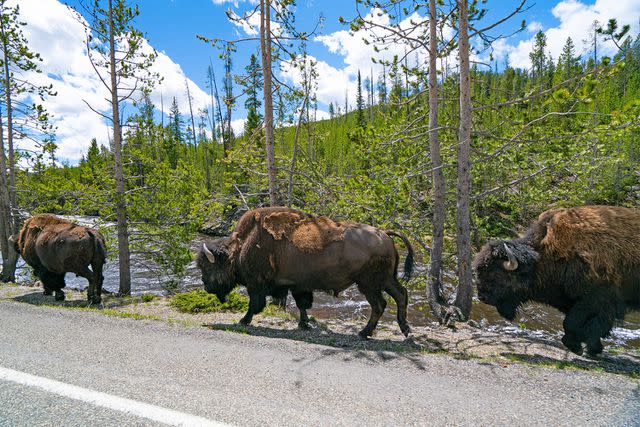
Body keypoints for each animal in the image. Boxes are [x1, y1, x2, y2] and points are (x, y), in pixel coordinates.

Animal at [196, 207, 416, 338]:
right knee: (400, 295)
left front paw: (243, 320)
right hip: (386, 280)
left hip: (369, 284)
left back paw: (364, 332)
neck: (243, 245)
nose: (205, 286)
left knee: (380, 304)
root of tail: (384, 233)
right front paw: (304, 325)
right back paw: (404, 330)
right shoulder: (297, 285)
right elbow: (302, 305)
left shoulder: (256, 285)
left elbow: (254, 305)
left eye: (208, 267)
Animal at [472, 206, 636, 356]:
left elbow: (575, 323)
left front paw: (579, 348)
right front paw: (590, 349)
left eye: (496, 274)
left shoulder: (597, 302)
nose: (482, 297)